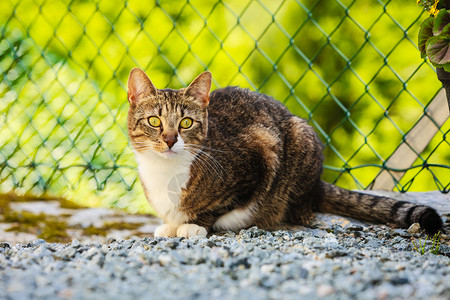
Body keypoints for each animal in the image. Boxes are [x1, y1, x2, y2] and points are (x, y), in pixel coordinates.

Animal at [126, 68, 442, 239]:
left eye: (186, 123)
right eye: (154, 121)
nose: (170, 140)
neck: (165, 174)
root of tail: (318, 183)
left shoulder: (261, 154)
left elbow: (219, 206)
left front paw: (192, 225)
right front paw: (171, 224)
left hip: (302, 137)